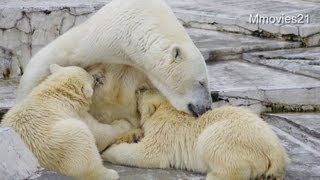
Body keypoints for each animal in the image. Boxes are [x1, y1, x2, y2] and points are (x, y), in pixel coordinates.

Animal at [104, 90, 288, 180]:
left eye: (143, 92)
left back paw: (213, 176)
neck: (167, 110)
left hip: (232, 137)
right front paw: (132, 136)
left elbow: (148, 153)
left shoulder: (165, 131)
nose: (139, 90)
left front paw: (108, 151)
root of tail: (277, 152)